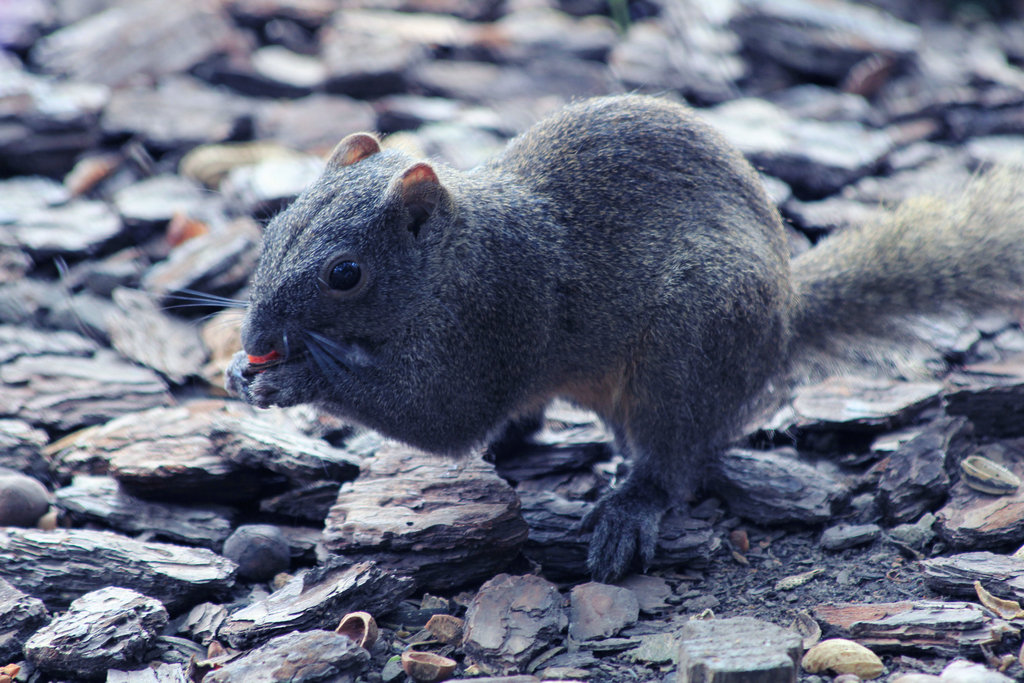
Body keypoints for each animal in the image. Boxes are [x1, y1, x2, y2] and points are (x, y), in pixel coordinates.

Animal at [228, 92, 1024, 581]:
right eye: (273, 225)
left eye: (345, 274)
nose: (257, 334)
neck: (459, 255)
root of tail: (783, 323)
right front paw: (243, 372)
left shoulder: (497, 318)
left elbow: (443, 417)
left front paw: (299, 377)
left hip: (687, 355)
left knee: (671, 459)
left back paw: (628, 509)